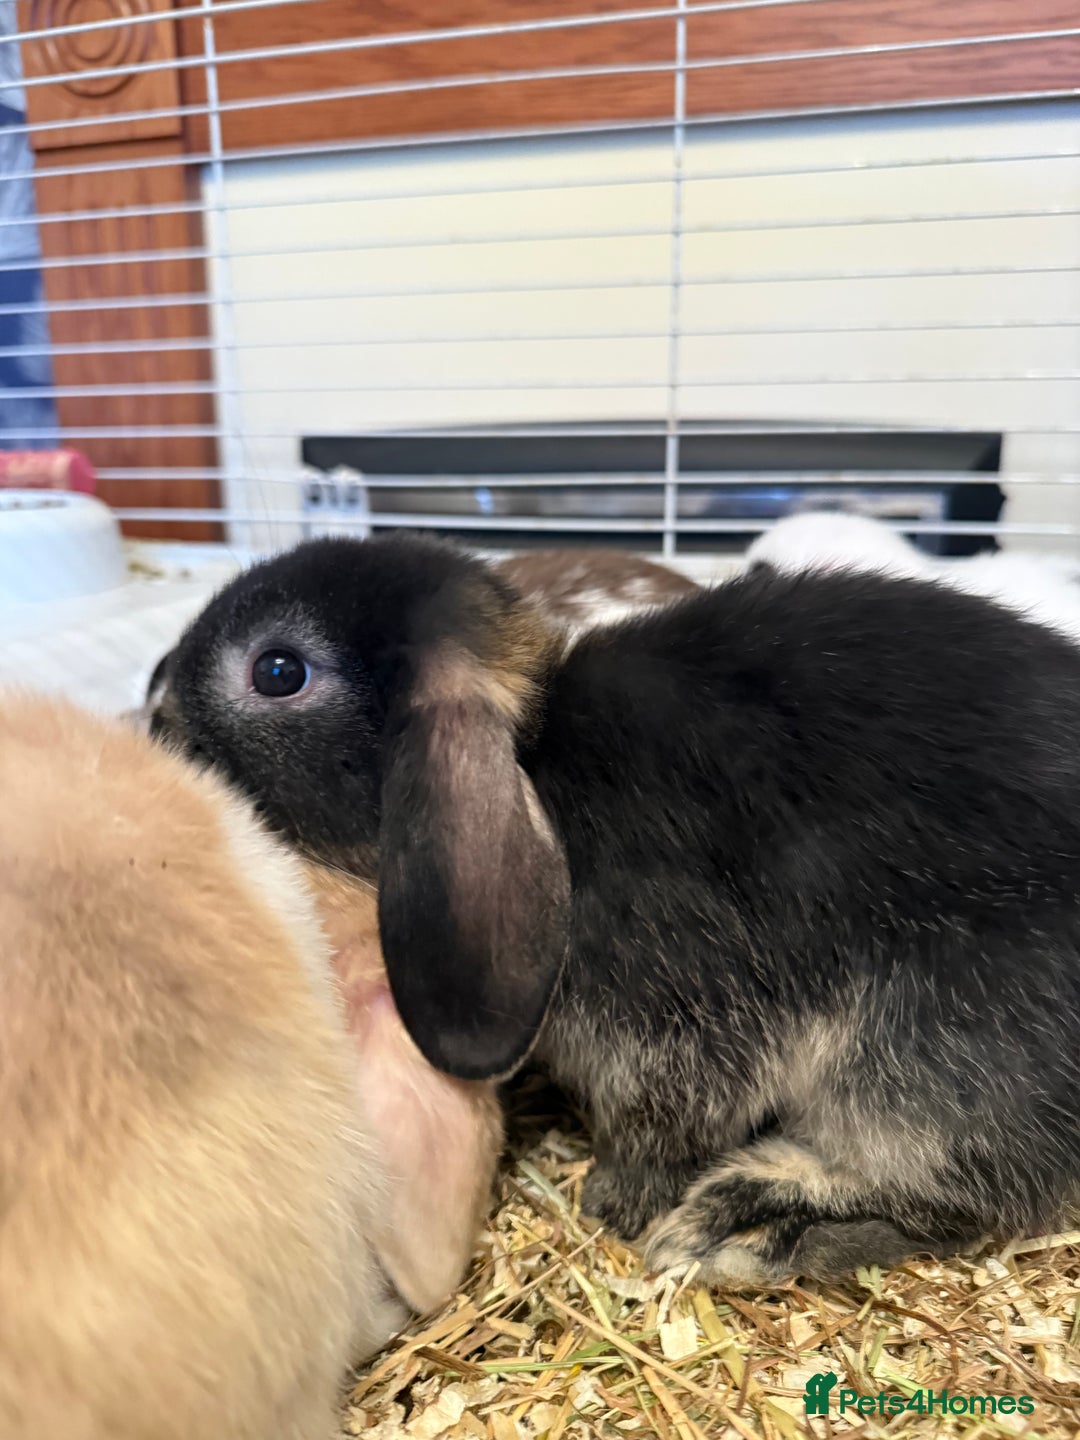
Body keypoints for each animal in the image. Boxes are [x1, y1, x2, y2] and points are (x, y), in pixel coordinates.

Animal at [148, 532, 1080, 1288]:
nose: (153, 707)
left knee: (951, 1192)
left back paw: (744, 1225)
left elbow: (667, 1116)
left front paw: (611, 1203)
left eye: (278, 671)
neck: (540, 766)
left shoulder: (682, 1007)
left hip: (930, 1049)